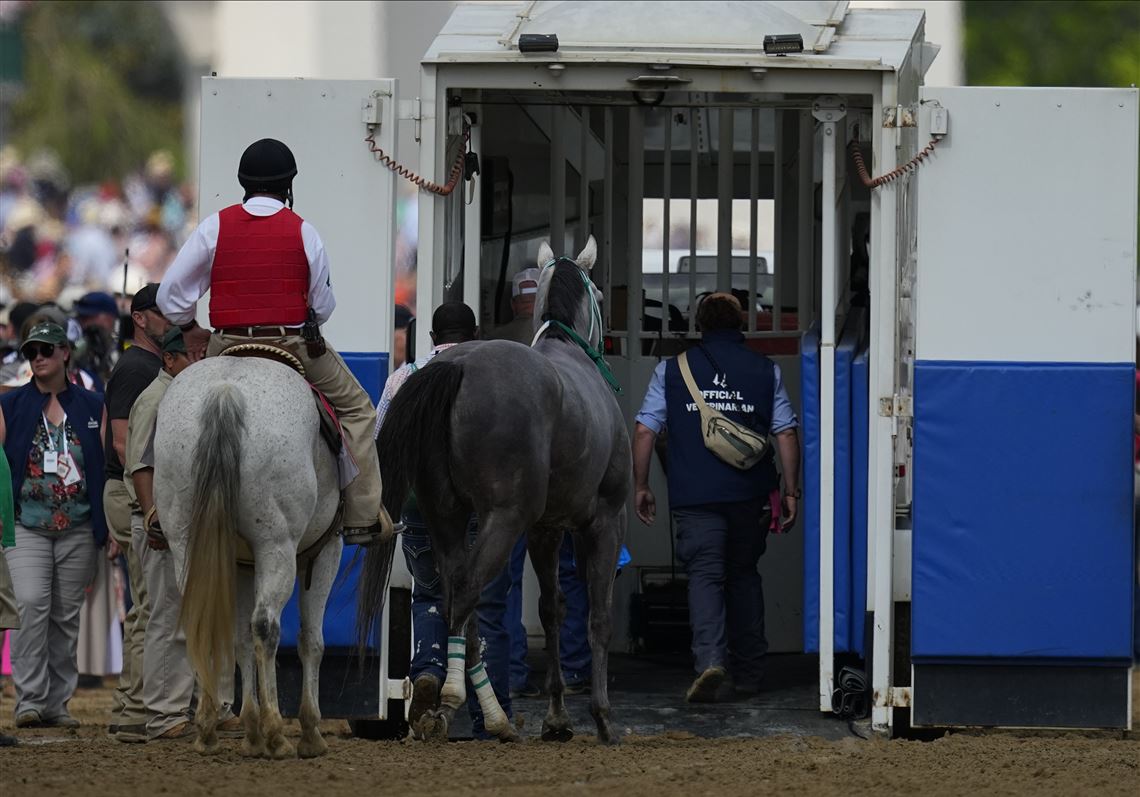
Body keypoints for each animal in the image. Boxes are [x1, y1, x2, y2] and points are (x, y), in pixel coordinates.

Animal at [153, 358, 369, 757]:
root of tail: (225, 392)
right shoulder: (325, 551)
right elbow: (311, 640)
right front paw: (309, 731)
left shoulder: (240, 565)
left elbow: (239, 639)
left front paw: (250, 730)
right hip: (277, 546)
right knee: (266, 625)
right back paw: (275, 733)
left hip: (185, 543)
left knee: (206, 622)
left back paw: (209, 730)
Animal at [357, 233, 633, 743]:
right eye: (602, 296)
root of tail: (458, 367)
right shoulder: (606, 520)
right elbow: (598, 617)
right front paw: (602, 718)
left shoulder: (546, 529)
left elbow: (552, 609)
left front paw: (557, 717)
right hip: (503, 518)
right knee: (469, 589)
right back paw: (454, 700)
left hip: (445, 515)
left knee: (451, 596)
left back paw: (475, 710)